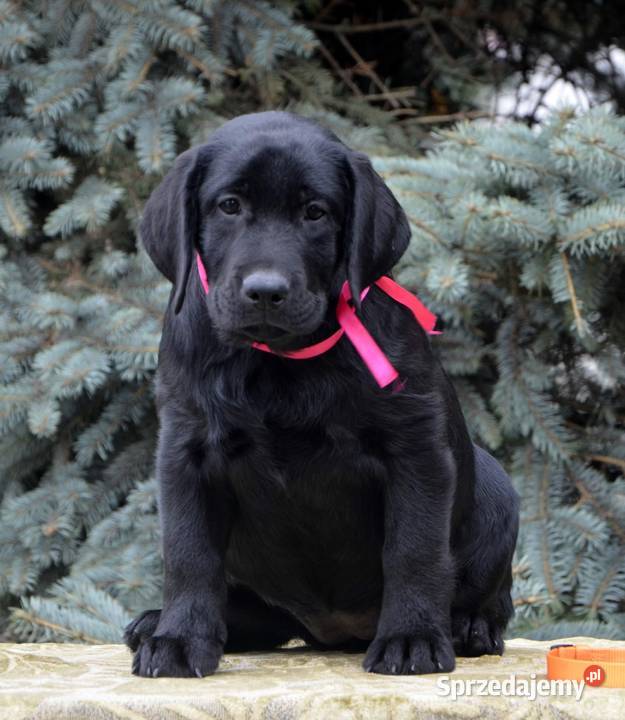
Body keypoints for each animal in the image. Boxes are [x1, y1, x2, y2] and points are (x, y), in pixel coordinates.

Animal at [124, 109, 520, 676]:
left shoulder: (417, 448)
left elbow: (415, 549)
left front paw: (412, 637)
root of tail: (335, 631)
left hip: (496, 490)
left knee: (490, 594)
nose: (266, 291)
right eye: (229, 205)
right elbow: (188, 552)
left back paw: (468, 627)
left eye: (315, 213)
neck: (278, 361)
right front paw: (179, 639)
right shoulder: (185, 449)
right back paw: (160, 622)